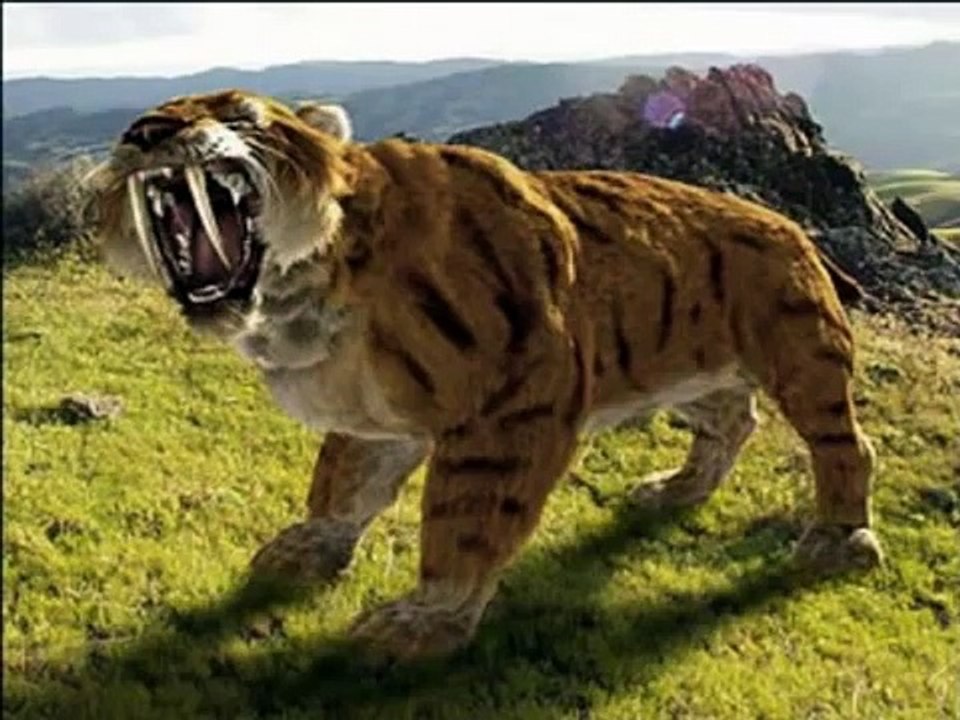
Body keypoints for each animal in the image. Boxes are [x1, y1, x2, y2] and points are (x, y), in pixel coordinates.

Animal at [89, 89, 882, 661]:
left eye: (239, 115)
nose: (142, 132)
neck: (309, 292)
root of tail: (791, 225)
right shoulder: (377, 412)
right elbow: (342, 482)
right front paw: (309, 547)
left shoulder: (510, 408)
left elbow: (463, 522)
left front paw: (421, 622)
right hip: (687, 371)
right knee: (734, 420)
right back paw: (676, 490)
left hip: (801, 353)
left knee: (847, 445)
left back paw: (838, 540)